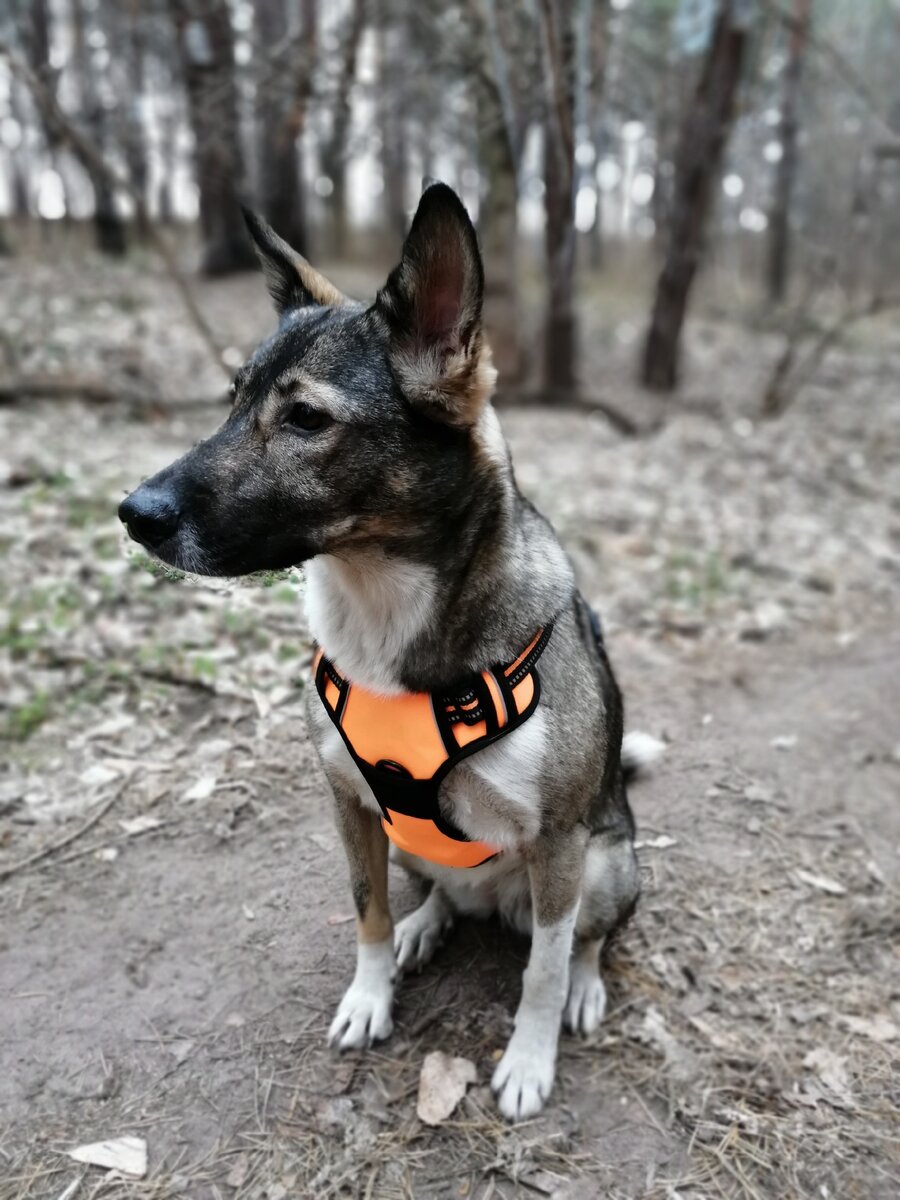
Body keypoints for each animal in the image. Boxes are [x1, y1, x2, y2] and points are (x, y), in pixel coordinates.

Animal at [120, 182, 657, 1118]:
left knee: (585, 940)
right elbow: (365, 913)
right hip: (415, 843)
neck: (382, 613)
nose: (133, 513)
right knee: (442, 887)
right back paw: (427, 925)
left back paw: (584, 984)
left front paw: (529, 1059)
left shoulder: (559, 845)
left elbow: (543, 972)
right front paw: (372, 993)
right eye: (232, 398)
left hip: (605, 863)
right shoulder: (351, 805)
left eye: (306, 418)